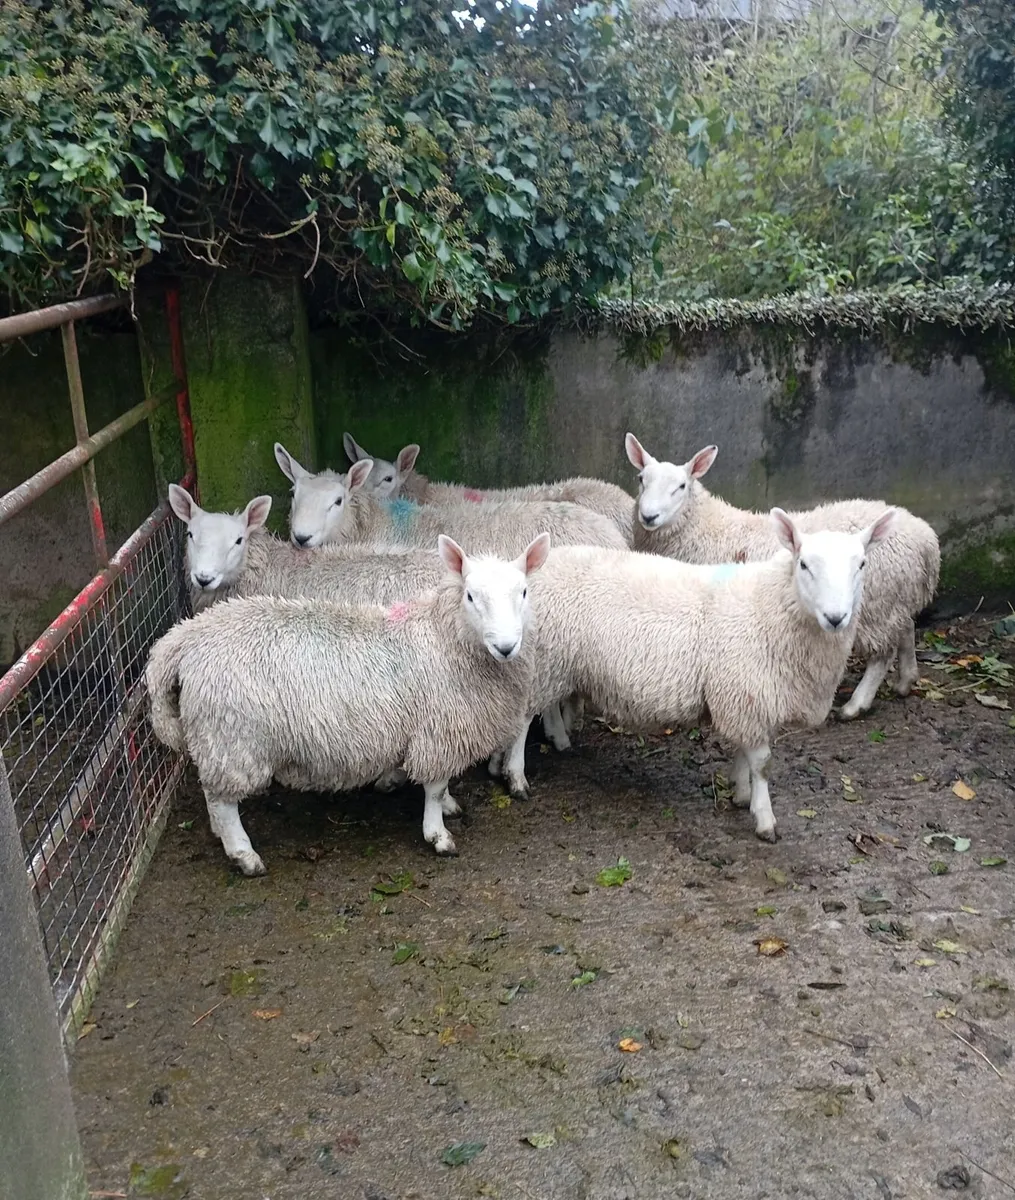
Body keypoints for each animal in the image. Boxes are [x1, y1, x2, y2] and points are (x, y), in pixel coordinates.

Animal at [146, 533, 550, 874]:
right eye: (470, 596)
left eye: (524, 592)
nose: (506, 646)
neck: (444, 638)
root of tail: (184, 637)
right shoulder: (436, 731)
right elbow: (434, 788)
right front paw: (438, 834)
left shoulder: (439, 734)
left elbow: (441, 784)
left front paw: (448, 806)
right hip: (231, 735)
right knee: (221, 800)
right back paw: (244, 855)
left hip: (219, 738)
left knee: (211, 790)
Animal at [490, 507, 895, 841]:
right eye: (805, 564)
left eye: (862, 564)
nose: (836, 617)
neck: (770, 607)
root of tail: (534, 568)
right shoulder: (746, 693)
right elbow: (762, 763)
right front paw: (764, 818)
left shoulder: (744, 697)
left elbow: (743, 752)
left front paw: (740, 792)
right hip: (543, 658)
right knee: (523, 718)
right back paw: (516, 776)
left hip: (555, 661)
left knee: (543, 706)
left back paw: (546, 744)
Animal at [624, 434, 940, 720]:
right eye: (641, 479)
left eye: (681, 486)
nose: (649, 516)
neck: (706, 528)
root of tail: (926, 540)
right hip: (895, 598)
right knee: (906, 628)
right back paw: (906, 680)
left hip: (877, 605)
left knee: (882, 653)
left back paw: (855, 705)